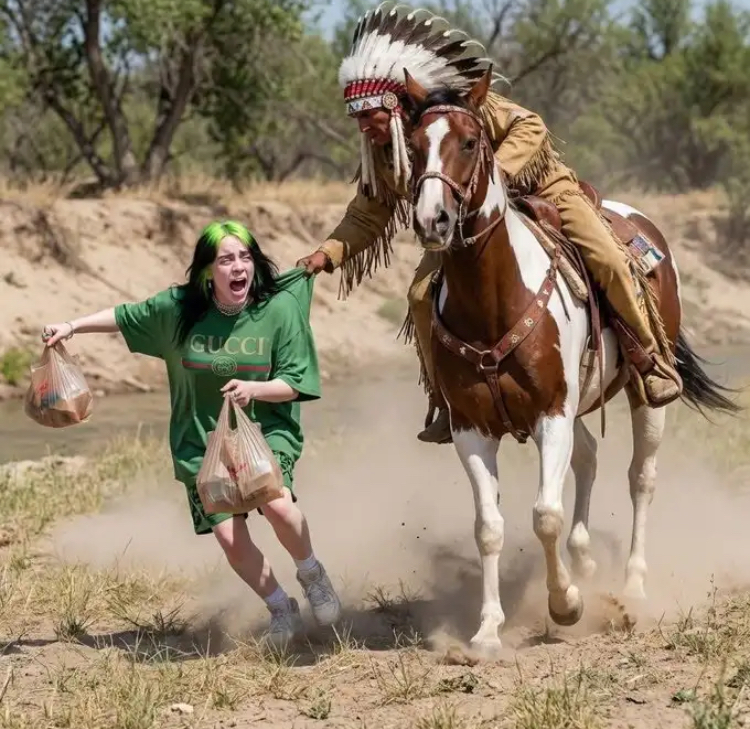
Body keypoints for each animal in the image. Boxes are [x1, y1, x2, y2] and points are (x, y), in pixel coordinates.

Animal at [401, 67, 742, 658]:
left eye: (469, 142)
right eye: (415, 146)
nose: (433, 221)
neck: (493, 299)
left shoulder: (551, 416)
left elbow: (545, 514)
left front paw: (565, 604)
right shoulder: (470, 429)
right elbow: (489, 526)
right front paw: (487, 630)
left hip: (645, 399)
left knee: (640, 477)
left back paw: (632, 588)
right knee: (588, 458)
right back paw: (585, 558)